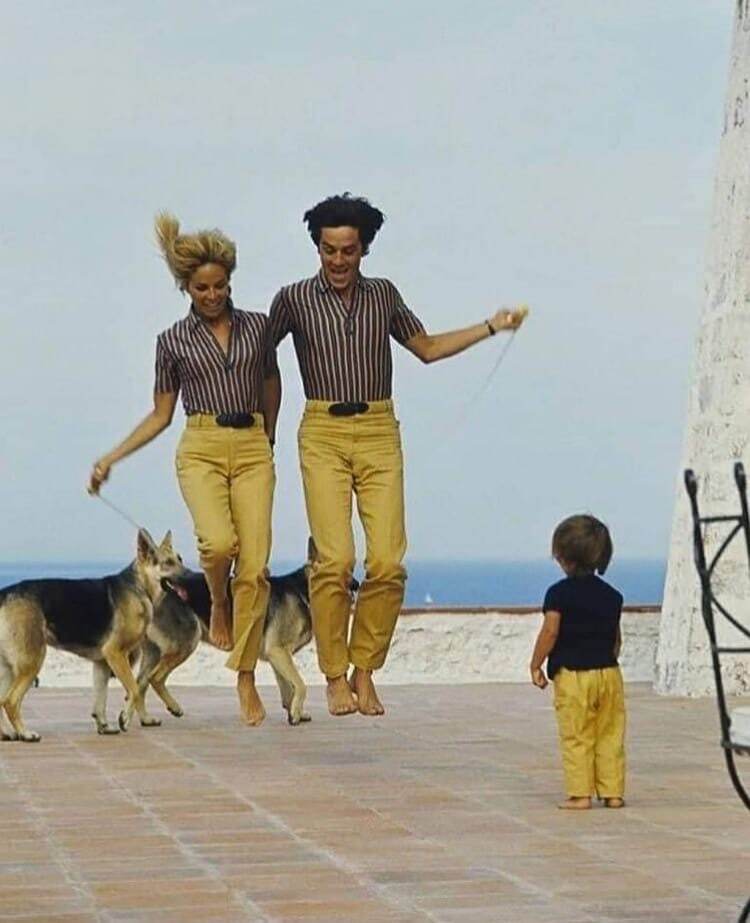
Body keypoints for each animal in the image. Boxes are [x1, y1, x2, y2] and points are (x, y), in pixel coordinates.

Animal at [0, 532, 187, 740]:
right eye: (167, 563)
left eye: (180, 560)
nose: (190, 576)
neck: (139, 587)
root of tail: (5, 593)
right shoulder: (116, 654)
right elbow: (135, 689)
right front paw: (124, 718)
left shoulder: (102, 663)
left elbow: (101, 699)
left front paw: (104, 726)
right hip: (31, 662)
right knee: (10, 701)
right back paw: (25, 733)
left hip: (10, 668)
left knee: (2, 700)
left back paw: (6, 733)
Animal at [139, 540, 362, 728]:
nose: (357, 585)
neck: (303, 590)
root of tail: (155, 592)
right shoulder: (278, 651)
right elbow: (300, 684)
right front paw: (296, 713)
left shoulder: (277, 657)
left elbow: (288, 689)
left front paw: (293, 712)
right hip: (185, 643)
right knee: (155, 678)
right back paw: (173, 707)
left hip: (154, 654)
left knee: (140, 684)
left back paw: (142, 719)